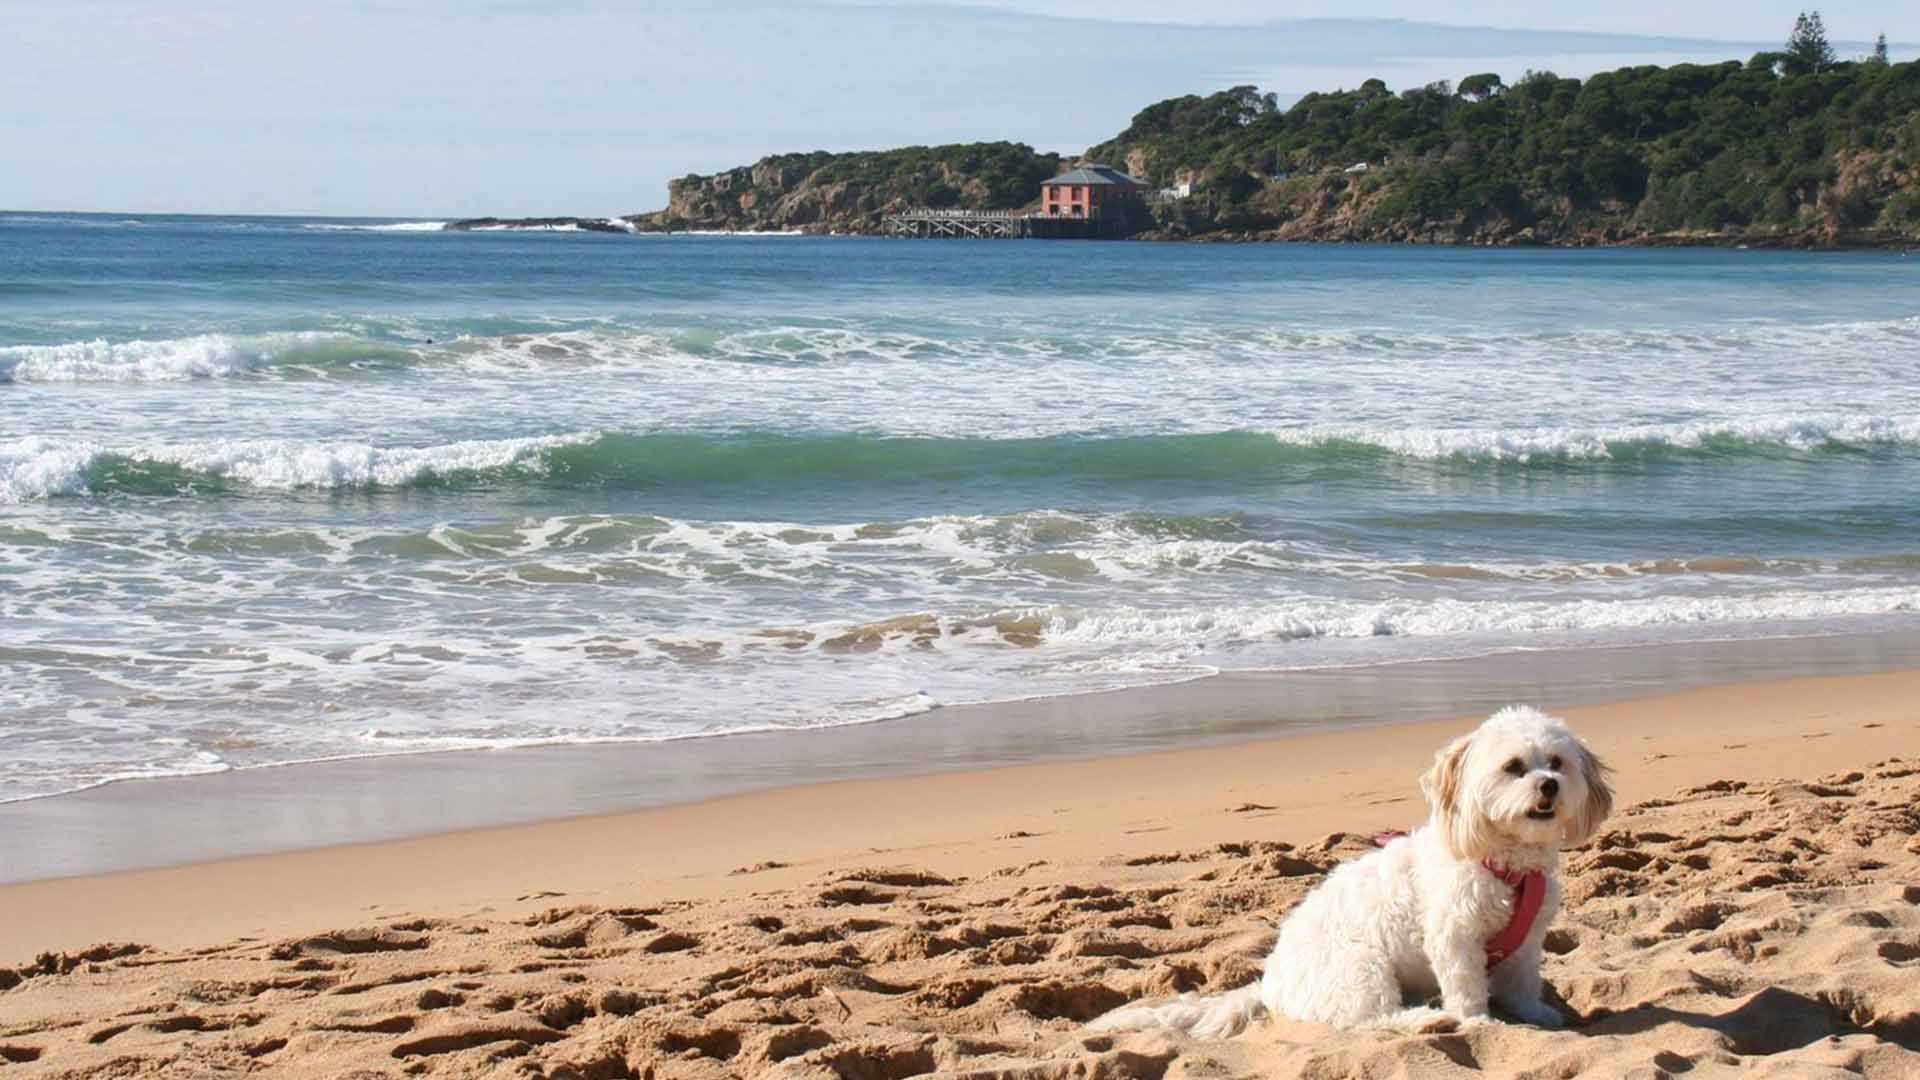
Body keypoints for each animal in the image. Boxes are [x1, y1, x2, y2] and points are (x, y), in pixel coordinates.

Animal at [1090, 707, 1612, 1037]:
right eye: (1514, 767)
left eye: (1557, 763)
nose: (1548, 785)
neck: (1507, 864)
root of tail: (1271, 984)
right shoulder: (1455, 937)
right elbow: (1466, 988)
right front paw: (1478, 1021)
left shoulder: (1526, 940)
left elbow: (1522, 983)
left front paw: (1536, 1013)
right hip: (1361, 968)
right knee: (1369, 1019)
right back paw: (1425, 1020)